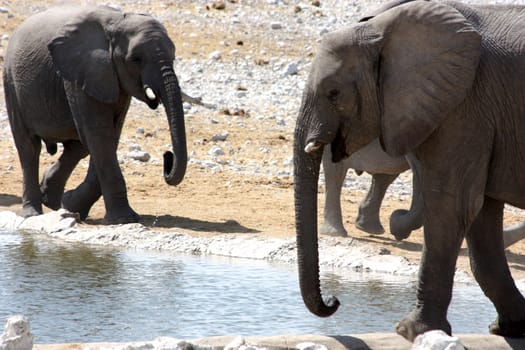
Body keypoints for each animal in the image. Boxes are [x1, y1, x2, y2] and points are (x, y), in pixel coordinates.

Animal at [3, 4, 186, 224]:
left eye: (174, 57)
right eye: (136, 59)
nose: (167, 156)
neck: (117, 22)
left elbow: (109, 136)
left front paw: (72, 204)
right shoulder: (82, 72)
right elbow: (100, 135)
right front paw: (124, 219)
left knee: (78, 145)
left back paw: (52, 201)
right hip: (11, 83)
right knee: (29, 148)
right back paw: (33, 213)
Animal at [294, 0, 525, 344]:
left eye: (333, 93)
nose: (334, 301)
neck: (381, 28)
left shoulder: (464, 105)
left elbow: (452, 204)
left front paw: (409, 330)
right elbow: (479, 214)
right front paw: (507, 328)